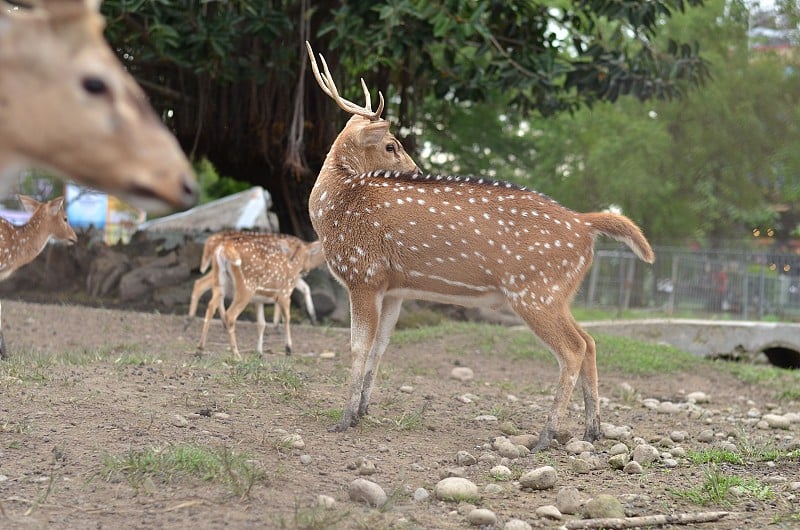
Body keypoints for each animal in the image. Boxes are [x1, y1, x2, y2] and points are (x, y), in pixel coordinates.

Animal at [306, 41, 656, 448]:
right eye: (392, 145)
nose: (418, 173)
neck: (334, 210)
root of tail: (585, 224)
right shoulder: (392, 288)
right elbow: (381, 347)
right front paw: (362, 411)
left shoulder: (363, 273)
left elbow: (358, 346)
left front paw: (343, 419)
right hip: (558, 293)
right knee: (591, 341)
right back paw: (592, 429)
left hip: (535, 292)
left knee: (574, 348)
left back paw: (546, 435)